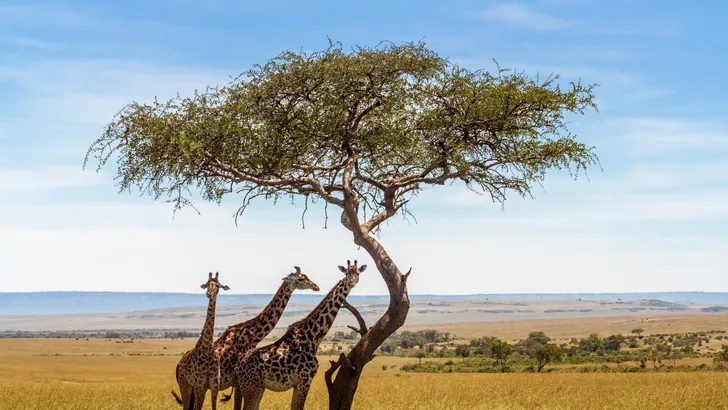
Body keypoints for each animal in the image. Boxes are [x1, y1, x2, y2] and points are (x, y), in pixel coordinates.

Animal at [171, 272, 228, 410]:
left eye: (217, 285)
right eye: (206, 285)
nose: (208, 293)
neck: (207, 349)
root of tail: (178, 364)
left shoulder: (213, 385)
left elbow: (213, 407)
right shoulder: (199, 384)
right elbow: (197, 408)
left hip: (194, 388)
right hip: (185, 384)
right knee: (186, 406)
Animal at [233, 260, 366, 410]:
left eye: (357, 273)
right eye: (346, 273)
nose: (351, 282)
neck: (314, 337)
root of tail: (238, 368)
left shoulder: (299, 383)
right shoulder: (305, 379)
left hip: (256, 388)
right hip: (252, 388)